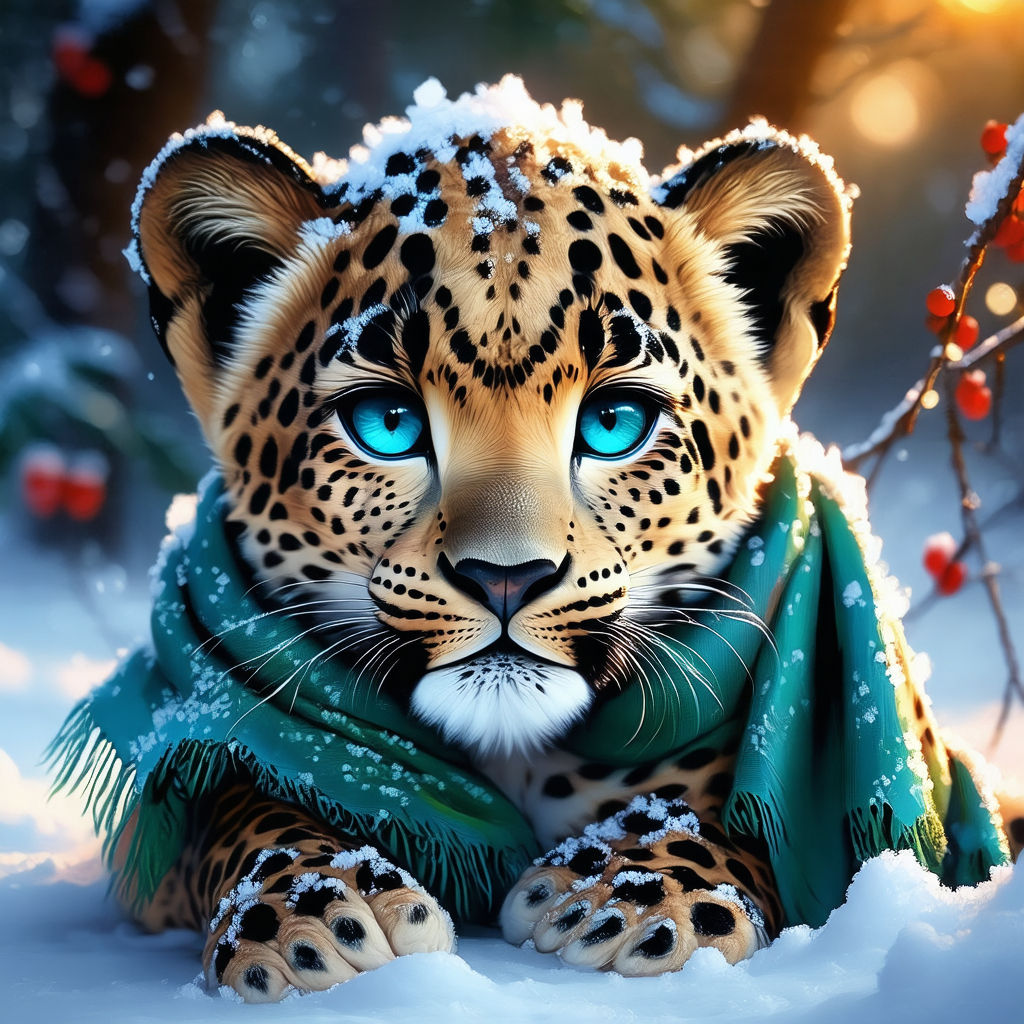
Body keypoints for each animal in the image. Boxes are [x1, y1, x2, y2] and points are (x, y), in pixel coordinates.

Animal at [99, 77, 1019, 1001]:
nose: (506, 577)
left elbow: (727, 807)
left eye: (614, 423)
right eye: (388, 423)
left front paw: (630, 898)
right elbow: (237, 804)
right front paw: (310, 915)